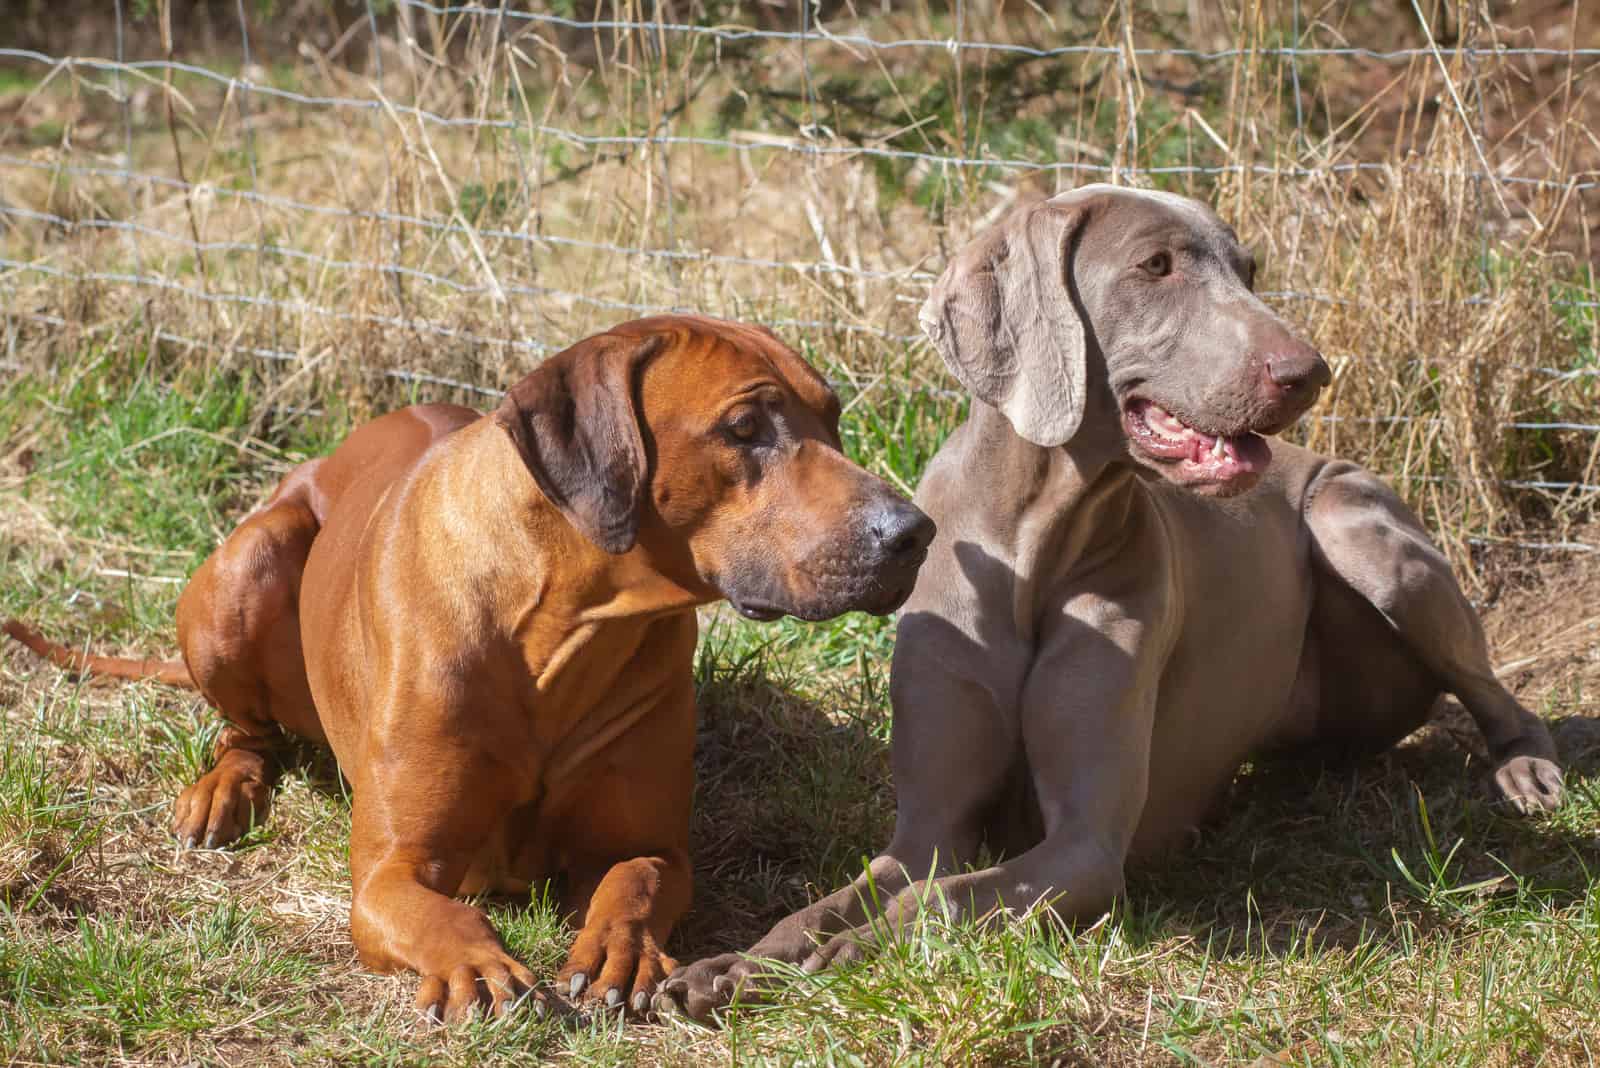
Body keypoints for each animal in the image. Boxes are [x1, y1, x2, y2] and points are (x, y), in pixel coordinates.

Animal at [6, 313, 934, 1023]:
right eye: (745, 430)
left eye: (834, 420)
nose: (915, 532)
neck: (560, 633)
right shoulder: (389, 871)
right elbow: (436, 911)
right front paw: (478, 966)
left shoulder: (652, 843)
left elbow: (633, 879)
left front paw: (620, 949)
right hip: (248, 564)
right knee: (247, 731)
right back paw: (221, 791)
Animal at [662, 187, 1561, 1023]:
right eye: (1155, 267)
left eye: (1249, 271)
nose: (1308, 372)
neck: (1034, 545)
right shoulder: (927, 830)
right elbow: (842, 897)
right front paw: (739, 964)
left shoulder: (1085, 849)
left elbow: (937, 900)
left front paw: (852, 951)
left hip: (1361, 530)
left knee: (1493, 690)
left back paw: (1525, 770)